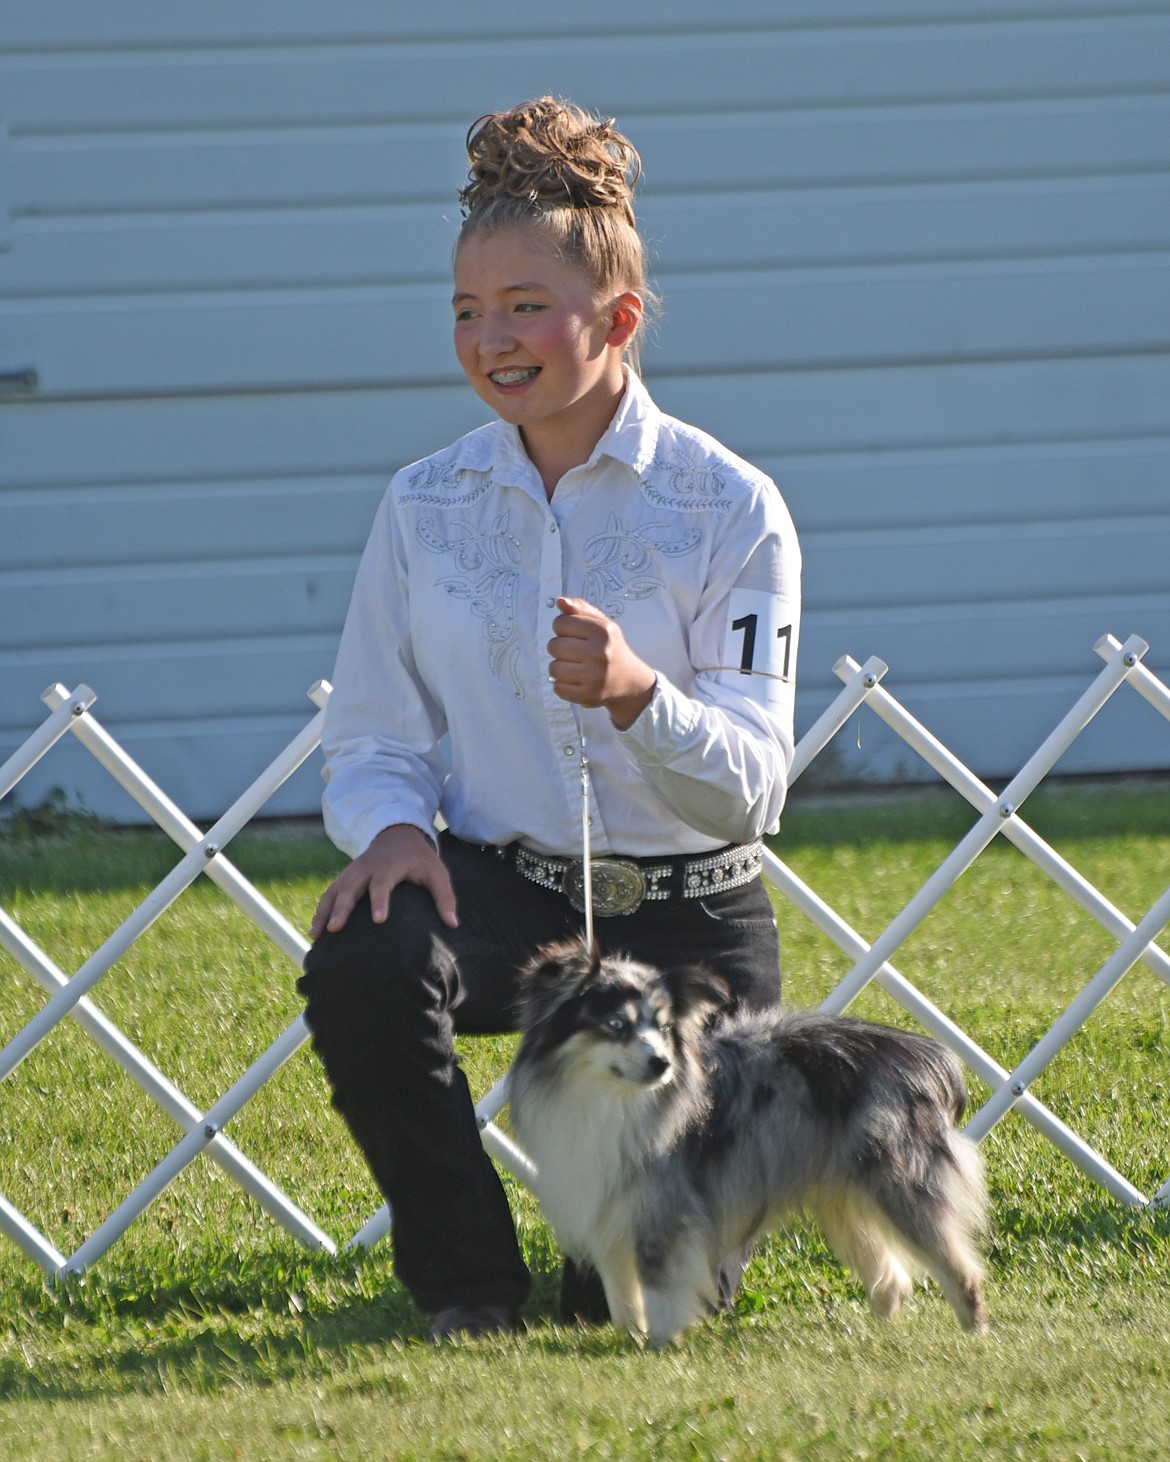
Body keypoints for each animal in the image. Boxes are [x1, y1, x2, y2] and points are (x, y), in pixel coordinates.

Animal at [508, 941, 988, 1339]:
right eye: (615, 1024)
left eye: (664, 1028)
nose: (662, 1064)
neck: (610, 1098)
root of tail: (927, 1056)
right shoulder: (610, 1214)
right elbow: (623, 1294)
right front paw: (631, 1338)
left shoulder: (663, 1213)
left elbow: (660, 1291)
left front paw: (661, 1345)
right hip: (845, 1197)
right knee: (892, 1280)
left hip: (900, 1187)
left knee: (958, 1269)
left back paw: (973, 1332)